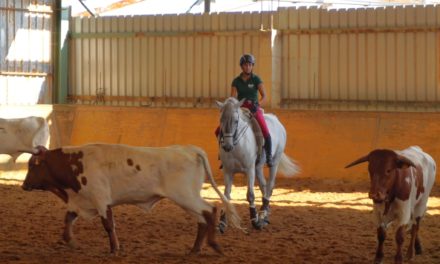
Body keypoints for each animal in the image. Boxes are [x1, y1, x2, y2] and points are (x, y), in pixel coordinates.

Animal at [21, 143, 241, 255]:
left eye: (32, 165)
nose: (23, 185)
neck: (75, 164)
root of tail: (189, 149)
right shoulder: (81, 200)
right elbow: (68, 219)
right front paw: (70, 241)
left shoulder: (100, 199)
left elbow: (108, 224)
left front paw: (114, 249)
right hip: (187, 198)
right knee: (202, 219)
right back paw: (195, 249)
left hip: (185, 196)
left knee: (210, 210)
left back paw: (214, 245)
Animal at [214, 97, 298, 231]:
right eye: (221, 119)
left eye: (236, 121)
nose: (227, 146)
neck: (237, 145)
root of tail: (276, 119)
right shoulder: (228, 170)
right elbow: (226, 195)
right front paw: (222, 223)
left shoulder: (250, 170)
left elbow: (250, 195)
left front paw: (254, 220)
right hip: (258, 167)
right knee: (264, 186)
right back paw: (264, 214)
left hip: (274, 162)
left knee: (270, 186)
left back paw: (262, 214)